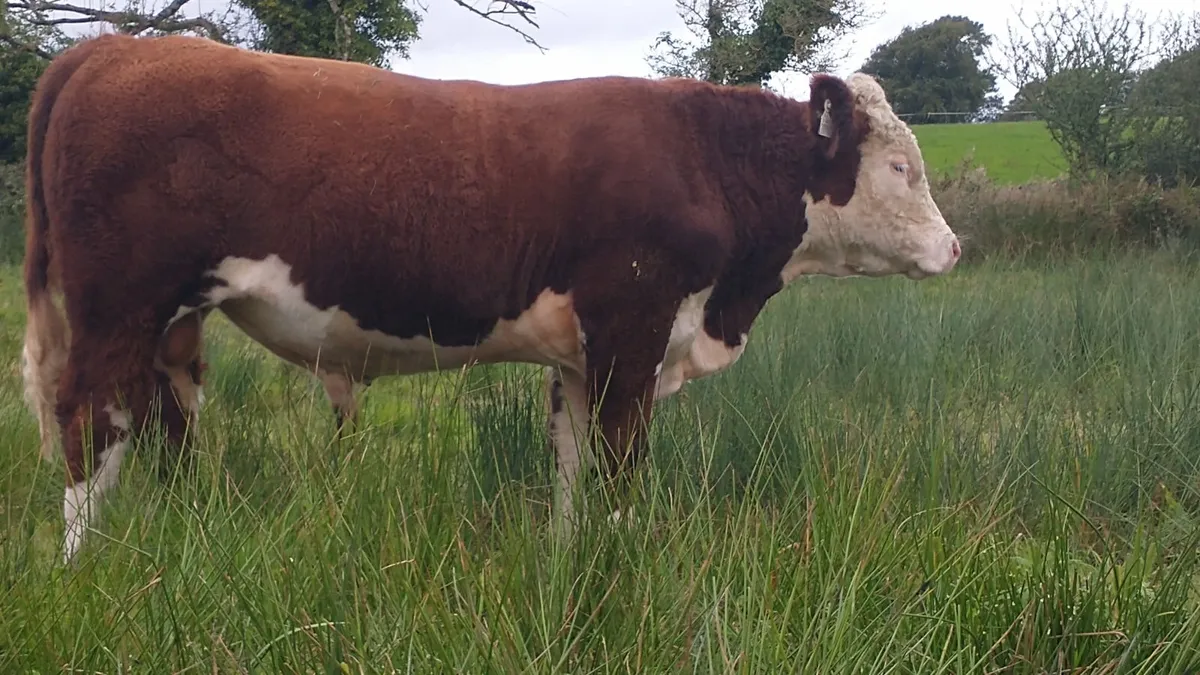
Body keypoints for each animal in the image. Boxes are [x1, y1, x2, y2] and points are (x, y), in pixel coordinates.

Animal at [20, 33, 960, 564]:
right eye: (901, 166)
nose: (953, 247)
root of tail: (113, 47)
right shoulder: (633, 330)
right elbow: (622, 464)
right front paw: (621, 568)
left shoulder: (582, 353)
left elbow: (574, 464)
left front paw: (572, 560)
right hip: (118, 303)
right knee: (90, 419)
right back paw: (82, 564)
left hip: (171, 320)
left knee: (162, 420)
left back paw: (175, 538)